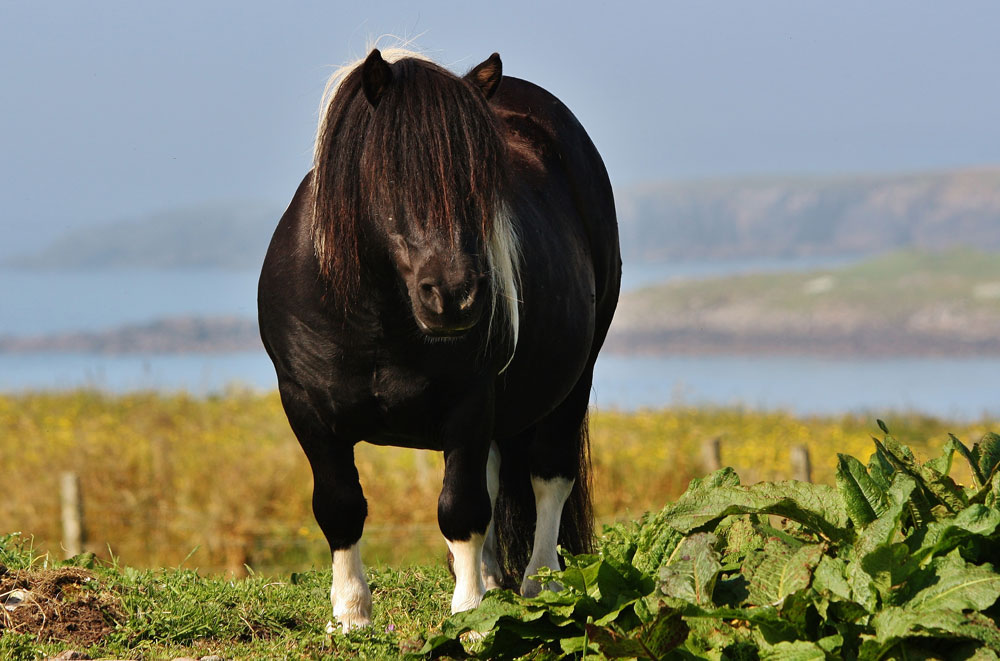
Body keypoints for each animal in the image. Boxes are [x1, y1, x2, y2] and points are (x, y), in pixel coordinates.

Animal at [258, 47, 616, 628]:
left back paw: (541, 583)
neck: (378, 321)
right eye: (391, 173)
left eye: (484, 182)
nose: (455, 296)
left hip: (574, 380)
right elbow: (339, 505)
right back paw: (494, 579)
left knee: (548, 477)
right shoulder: (306, 406)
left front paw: (468, 614)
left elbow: (461, 508)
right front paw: (351, 613)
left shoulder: (468, 401)